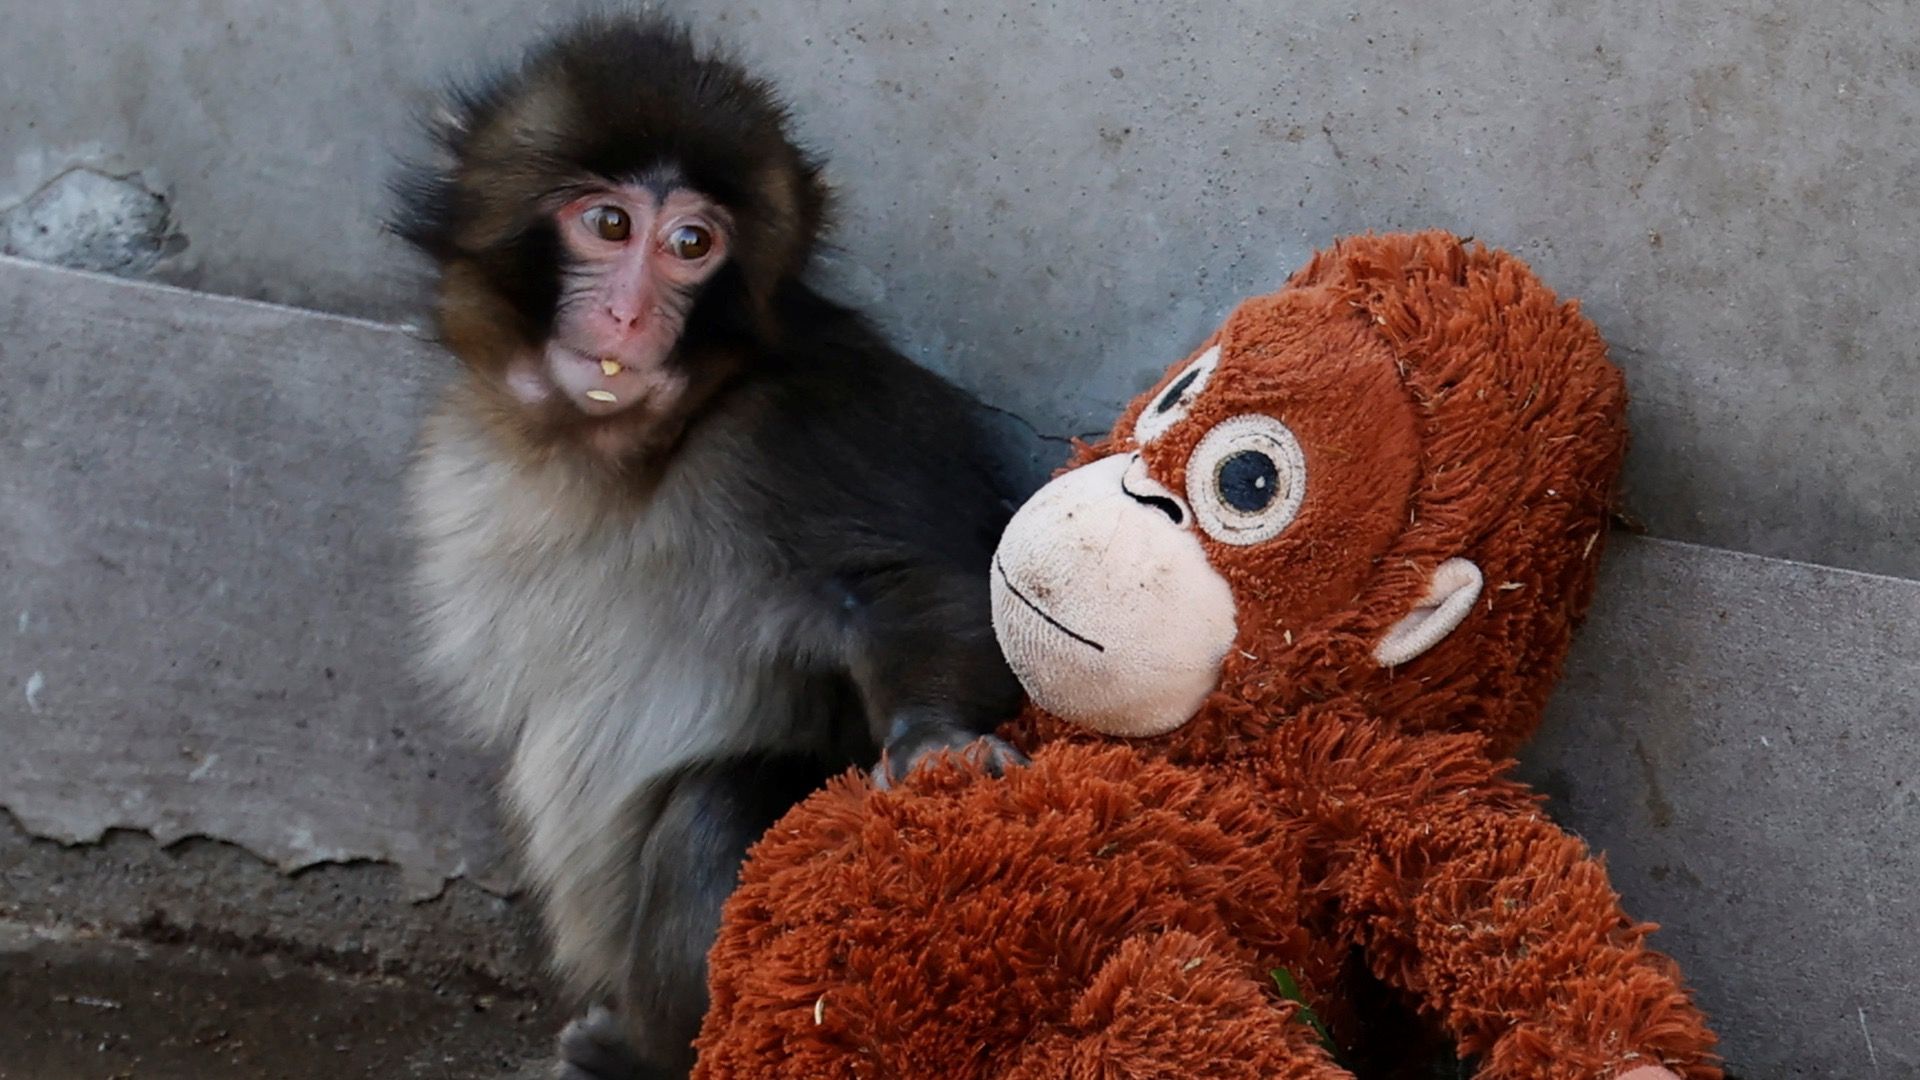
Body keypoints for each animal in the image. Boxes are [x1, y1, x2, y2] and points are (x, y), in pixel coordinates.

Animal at [389, 15, 1027, 1079]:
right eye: (610, 226)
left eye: (692, 244)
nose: (631, 314)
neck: (626, 450)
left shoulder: (804, 426)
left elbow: (908, 584)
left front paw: (936, 742)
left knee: (718, 810)